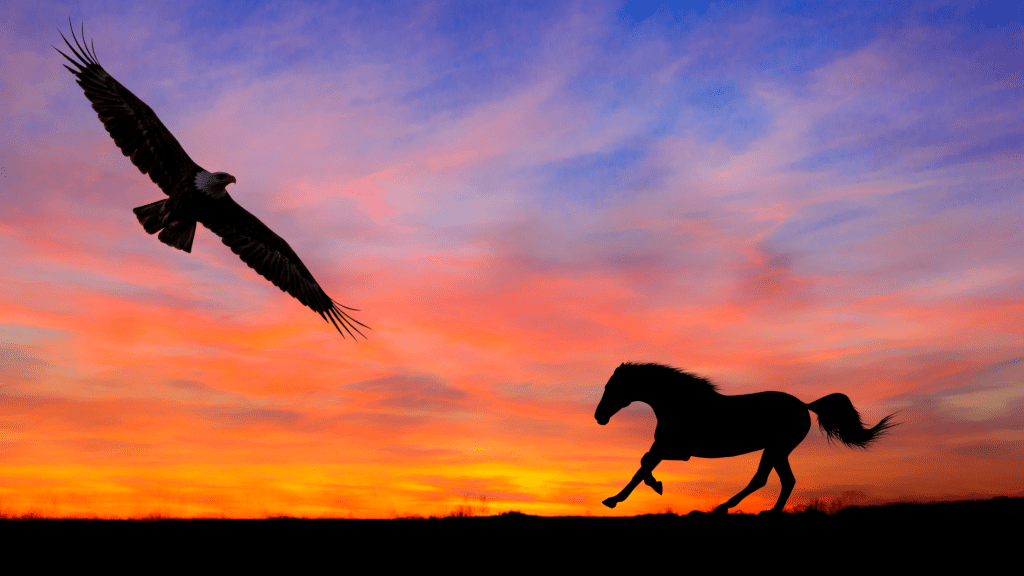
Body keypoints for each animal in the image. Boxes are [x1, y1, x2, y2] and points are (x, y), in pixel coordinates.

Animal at [595, 362, 898, 514]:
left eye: (612, 387)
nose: (599, 417)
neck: (680, 404)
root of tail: (803, 404)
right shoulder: (666, 448)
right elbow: (643, 463)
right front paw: (619, 498)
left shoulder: (677, 450)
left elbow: (642, 464)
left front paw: (630, 494)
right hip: (779, 450)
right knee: (784, 480)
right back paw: (765, 512)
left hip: (776, 447)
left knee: (763, 479)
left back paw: (726, 508)